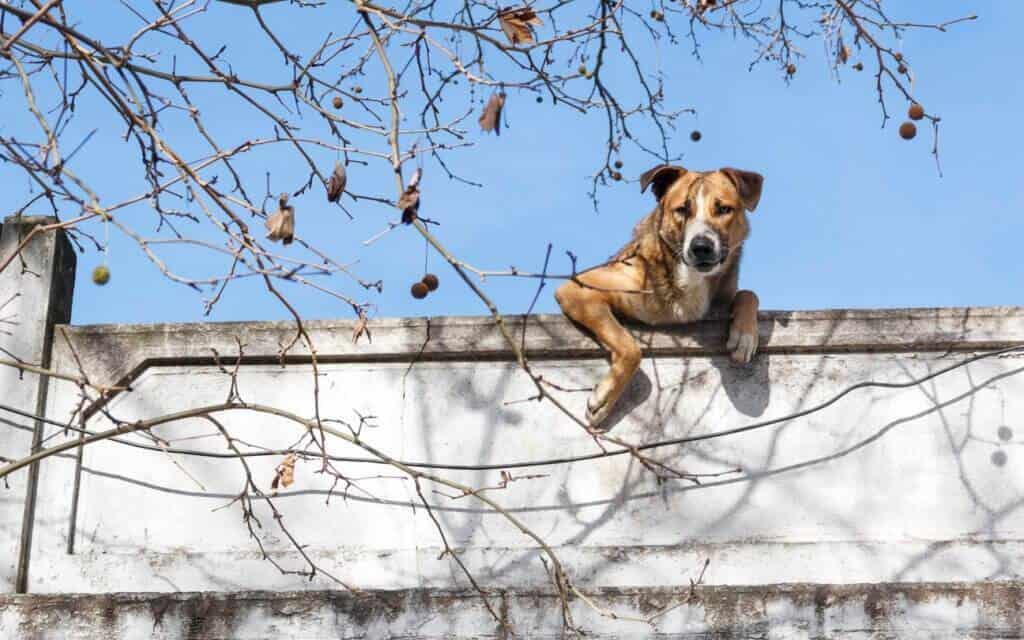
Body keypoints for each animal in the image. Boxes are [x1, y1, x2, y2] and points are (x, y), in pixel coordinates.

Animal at [557, 161, 765, 425]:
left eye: (724, 209)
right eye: (682, 209)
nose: (701, 247)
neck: (688, 279)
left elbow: (749, 293)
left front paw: (745, 336)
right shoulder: (579, 288)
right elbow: (630, 347)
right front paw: (604, 398)